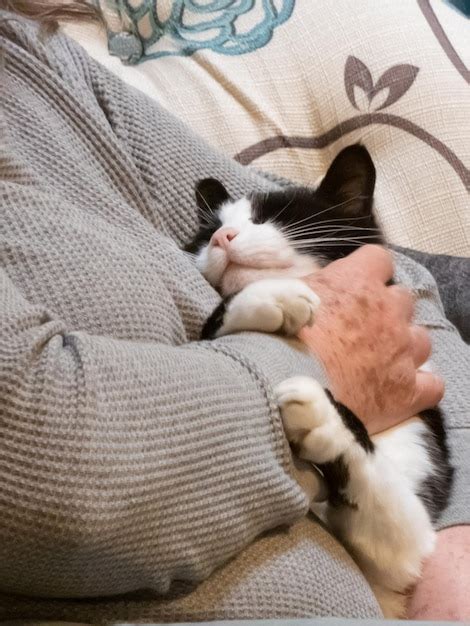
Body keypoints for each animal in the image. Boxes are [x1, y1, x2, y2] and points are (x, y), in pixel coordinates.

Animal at [185, 144, 454, 616]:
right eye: (208, 232)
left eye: (273, 216)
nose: (222, 238)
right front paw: (267, 296)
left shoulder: (408, 521)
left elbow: (398, 531)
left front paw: (326, 418)